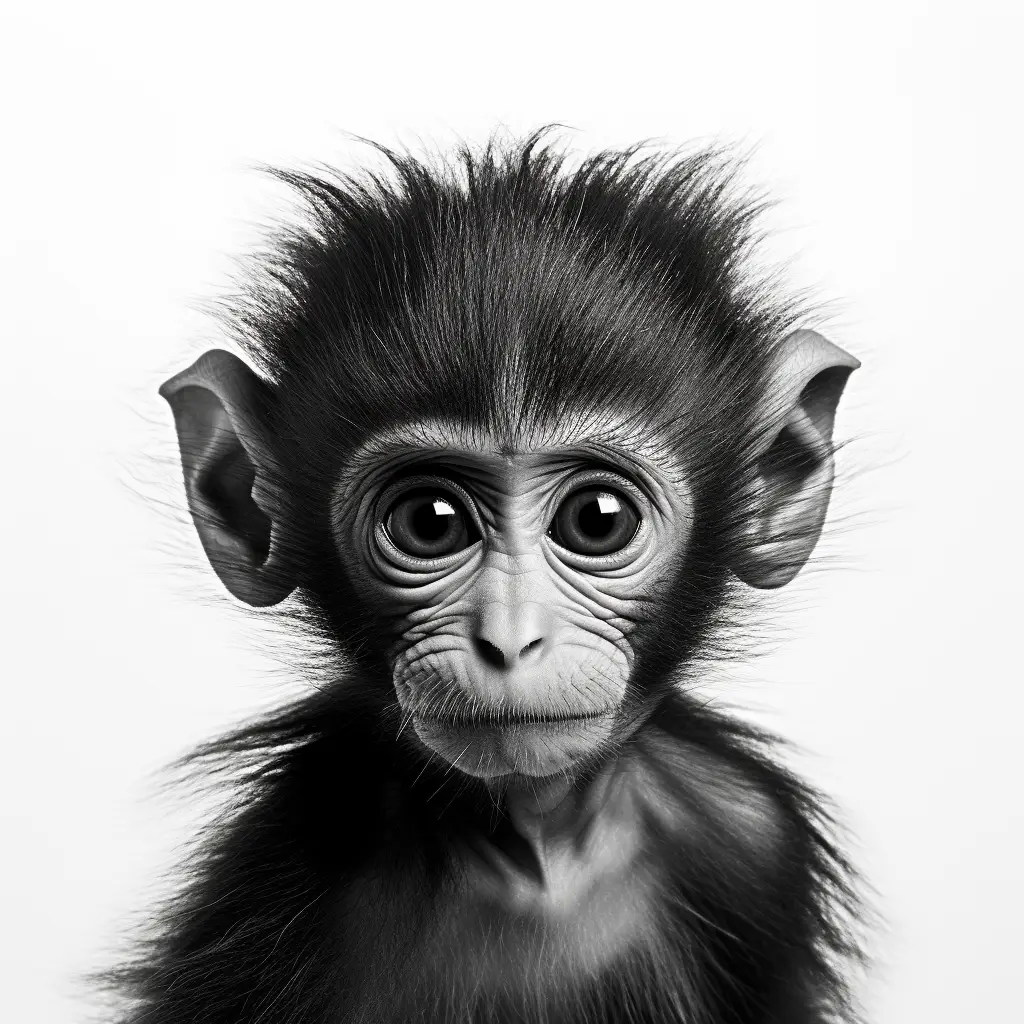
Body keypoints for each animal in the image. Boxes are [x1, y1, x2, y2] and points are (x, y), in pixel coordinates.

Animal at [107, 132, 864, 1024]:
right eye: (430, 522)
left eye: (598, 519)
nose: (510, 639)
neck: (535, 848)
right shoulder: (276, 881)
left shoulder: (755, 836)